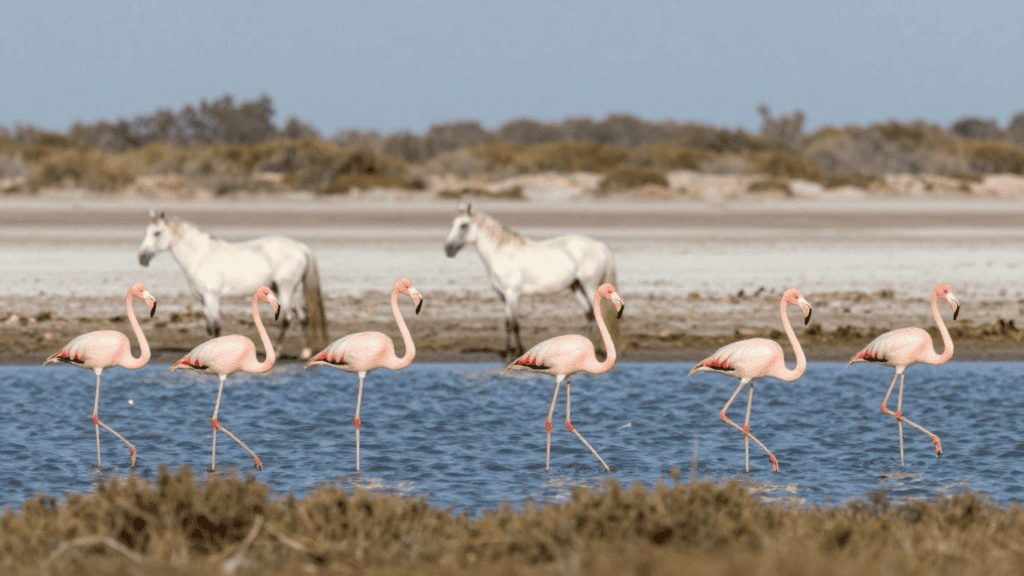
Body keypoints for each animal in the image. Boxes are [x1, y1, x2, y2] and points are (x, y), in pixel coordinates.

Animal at [137, 210, 328, 359]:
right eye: (146, 231)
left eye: (157, 233)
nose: (142, 258)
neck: (200, 256)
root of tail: (301, 248)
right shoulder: (202, 299)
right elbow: (209, 328)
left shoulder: (212, 297)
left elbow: (216, 327)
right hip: (289, 290)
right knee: (303, 316)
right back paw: (305, 352)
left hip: (285, 289)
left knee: (286, 319)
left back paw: (277, 351)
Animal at [443, 204, 618, 357]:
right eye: (453, 224)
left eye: (464, 225)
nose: (448, 249)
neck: (502, 254)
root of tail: (600, 245)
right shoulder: (504, 296)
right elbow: (510, 323)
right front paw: (513, 350)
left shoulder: (513, 295)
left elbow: (512, 324)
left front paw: (512, 352)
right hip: (576, 287)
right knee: (590, 314)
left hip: (590, 286)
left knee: (598, 314)